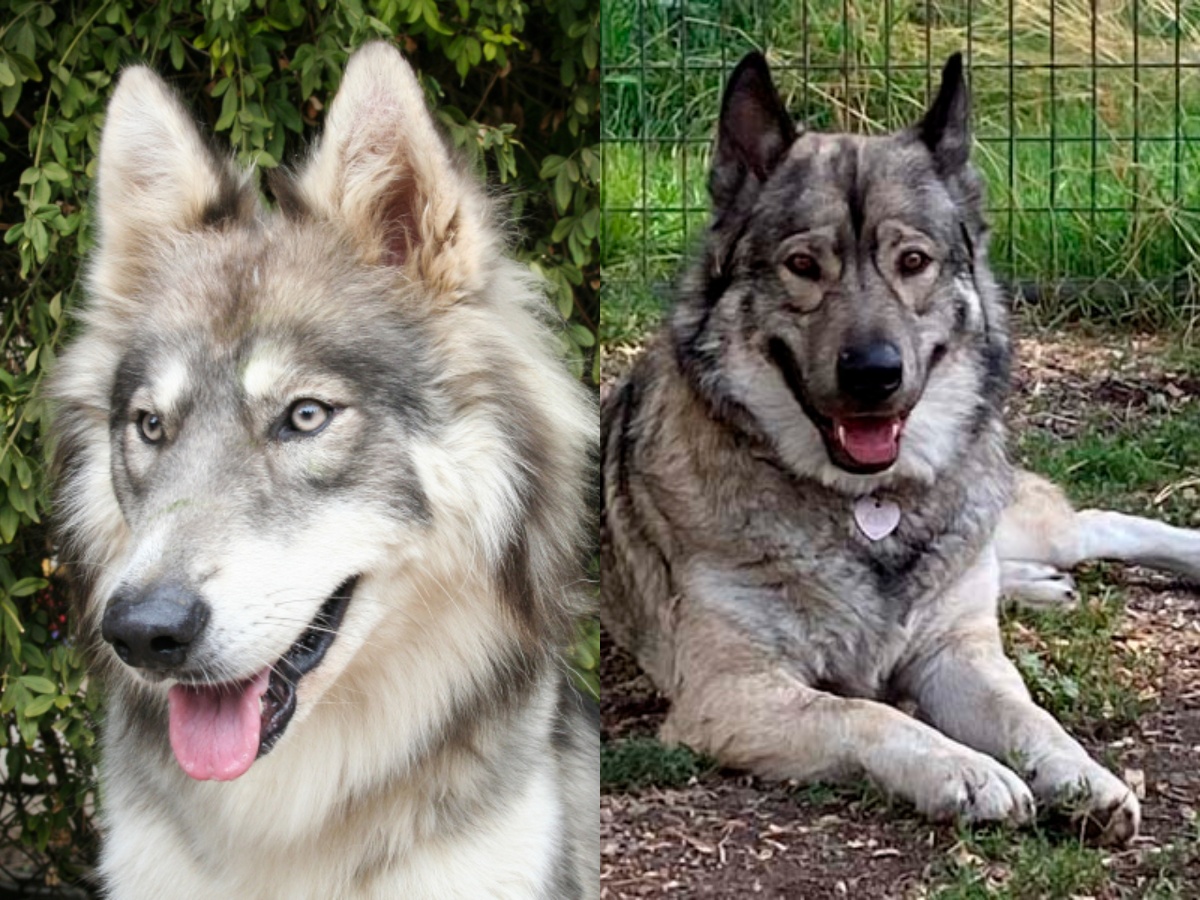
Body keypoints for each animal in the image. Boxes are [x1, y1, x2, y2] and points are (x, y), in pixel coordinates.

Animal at [601, 51, 1200, 845]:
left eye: (912, 261)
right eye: (804, 265)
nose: (874, 373)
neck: (867, 504)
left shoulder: (958, 662)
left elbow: (1031, 718)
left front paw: (1083, 775)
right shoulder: (731, 692)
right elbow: (865, 712)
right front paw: (967, 770)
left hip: (1013, 526)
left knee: (1093, 526)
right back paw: (1039, 587)